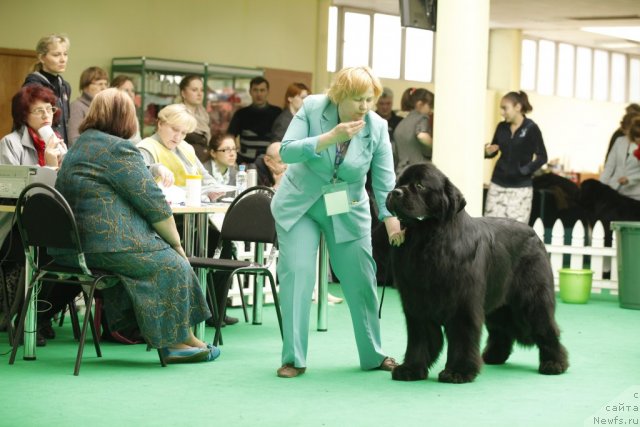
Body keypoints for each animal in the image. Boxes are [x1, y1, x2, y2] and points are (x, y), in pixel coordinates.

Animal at [388, 163, 568, 384]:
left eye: (420, 186)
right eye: (398, 183)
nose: (395, 192)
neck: (427, 240)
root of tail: (535, 234)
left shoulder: (463, 303)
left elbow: (462, 337)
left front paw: (458, 371)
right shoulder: (416, 303)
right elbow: (419, 338)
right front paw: (411, 369)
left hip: (532, 298)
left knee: (546, 327)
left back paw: (554, 363)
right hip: (498, 302)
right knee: (501, 329)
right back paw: (493, 356)